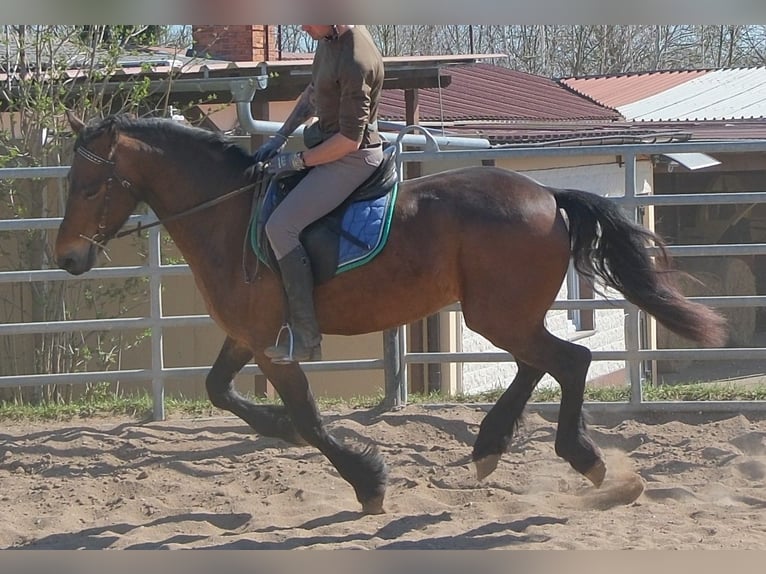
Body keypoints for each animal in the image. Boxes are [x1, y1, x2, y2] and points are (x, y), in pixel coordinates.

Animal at [55, 112, 727, 515]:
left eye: (88, 187)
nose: (65, 257)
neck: (228, 214)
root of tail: (548, 195)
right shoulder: (249, 336)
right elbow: (220, 390)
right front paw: (279, 430)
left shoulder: (275, 347)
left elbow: (310, 418)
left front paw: (367, 482)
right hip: (504, 315)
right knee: (542, 364)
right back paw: (490, 448)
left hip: (497, 315)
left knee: (572, 360)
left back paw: (582, 459)